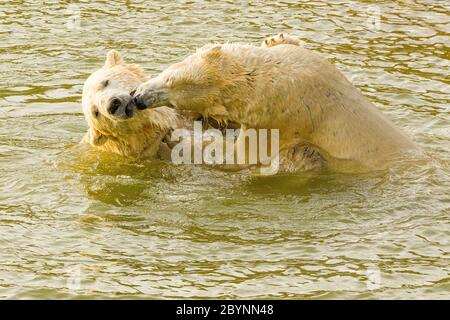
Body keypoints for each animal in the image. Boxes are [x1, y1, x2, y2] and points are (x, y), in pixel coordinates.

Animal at [134, 42, 418, 170]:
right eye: (167, 74)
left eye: (171, 87)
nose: (138, 97)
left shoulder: (281, 119)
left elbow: (239, 156)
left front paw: (171, 141)